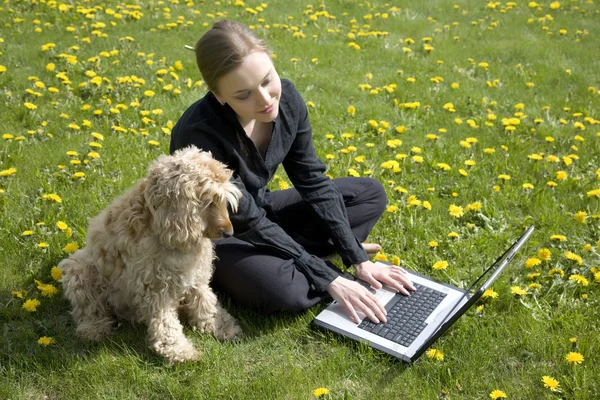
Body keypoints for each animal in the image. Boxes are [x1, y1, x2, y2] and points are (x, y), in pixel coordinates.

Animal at [58, 146, 241, 362]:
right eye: (209, 201)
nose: (229, 232)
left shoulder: (195, 274)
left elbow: (205, 301)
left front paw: (222, 326)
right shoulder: (154, 285)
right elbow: (165, 321)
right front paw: (179, 350)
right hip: (78, 268)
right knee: (88, 307)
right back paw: (94, 329)